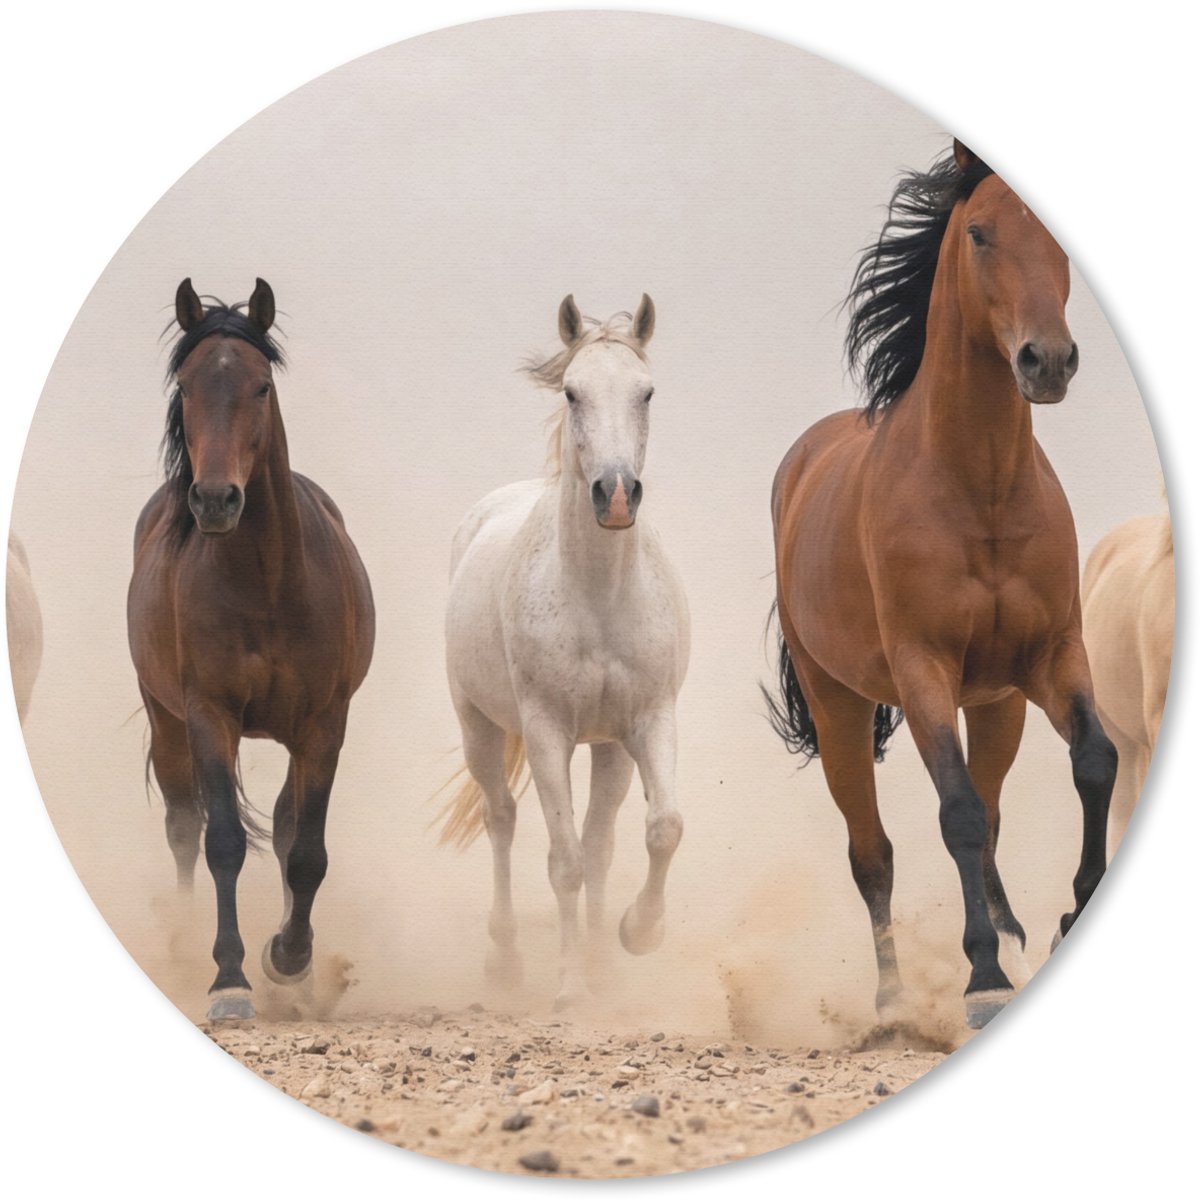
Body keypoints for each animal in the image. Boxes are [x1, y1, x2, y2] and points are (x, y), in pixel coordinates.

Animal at [127, 278, 375, 1021]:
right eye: (185, 385)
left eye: (261, 385)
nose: (214, 499)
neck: (267, 583)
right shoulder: (209, 716)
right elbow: (223, 843)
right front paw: (229, 980)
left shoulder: (324, 725)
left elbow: (307, 851)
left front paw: (289, 959)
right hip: (166, 721)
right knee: (184, 825)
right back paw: (184, 946)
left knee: (290, 827)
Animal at [438, 295, 689, 1009]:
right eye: (573, 392)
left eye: (646, 392)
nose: (616, 495)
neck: (598, 595)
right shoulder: (548, 731)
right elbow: (565, 860)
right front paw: (571, 989)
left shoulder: (646, 722)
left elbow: (660, 829)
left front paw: (635, 937)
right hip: (480, 727)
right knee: (501, 818)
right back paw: (505, 962)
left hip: (606, 749)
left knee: (602, 840)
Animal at [766, 142, 1117, 1029]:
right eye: (981, 234)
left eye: (1059, 244)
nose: (1047, 361)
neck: (980, 490)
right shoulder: (920, 668)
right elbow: (952, 812)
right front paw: (982, 979)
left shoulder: (1051, 657)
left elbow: (1094, 763)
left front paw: (1069, 919)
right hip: (840, 705)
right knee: (873, 852)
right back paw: (894, 1002)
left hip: (995, 705)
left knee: (991, 813)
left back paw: (1017, 936)